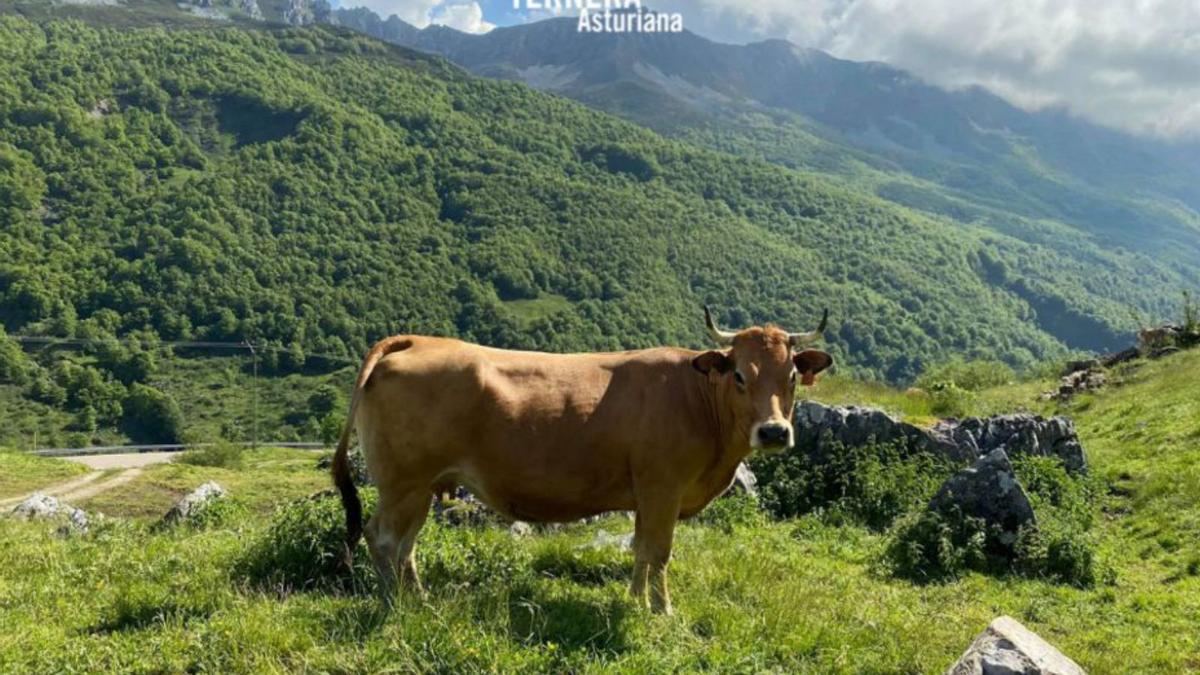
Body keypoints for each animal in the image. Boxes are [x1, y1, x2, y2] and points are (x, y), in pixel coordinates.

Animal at [333, 307, 830, 612]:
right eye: (740, 375)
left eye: (791, 375)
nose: (773, 431)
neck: (696, 397)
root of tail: (417, 341)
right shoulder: (663, 488)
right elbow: (659, 551)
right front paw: (662, 610)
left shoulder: (646, 495)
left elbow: (641, 549)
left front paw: (635, 601)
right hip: (403, 483)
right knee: (384, 539)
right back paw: (396, 605)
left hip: (421, 486)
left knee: (405, 545)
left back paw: (419, 600)